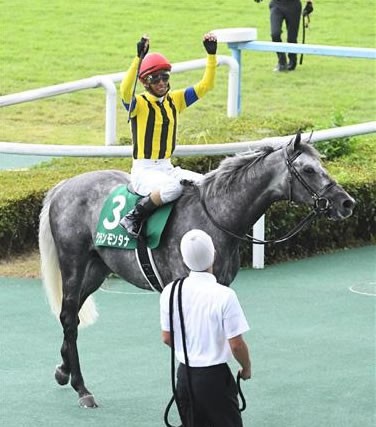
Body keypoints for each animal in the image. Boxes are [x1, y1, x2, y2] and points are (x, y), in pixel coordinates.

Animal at [38, 135, 356, 408]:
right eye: (309, 169)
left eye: (321, 164)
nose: (347, 202)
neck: (216, 215)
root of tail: (63, 186)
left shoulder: (221, 286)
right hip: (74, 263)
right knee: (69, 316)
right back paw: (82, 388)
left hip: (96, 269)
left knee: (71, 316)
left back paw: (64, 371)